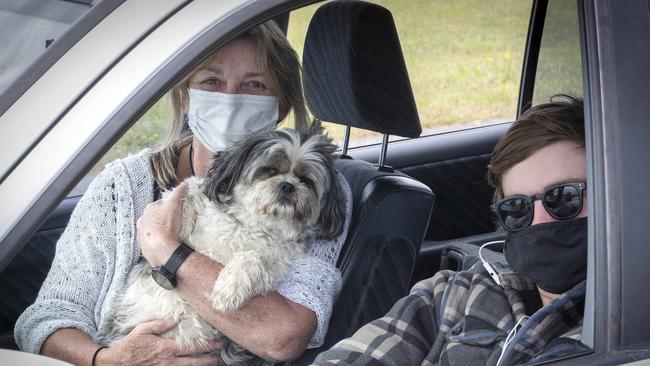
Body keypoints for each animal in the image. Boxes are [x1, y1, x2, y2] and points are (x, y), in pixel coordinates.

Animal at [95, 122, 344, 364]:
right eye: (269, 170)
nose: (288, 185)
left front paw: (228, 290)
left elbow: (252, 259)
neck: (252, 226)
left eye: (306, 180)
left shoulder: (276, 266)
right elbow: (186, 193)